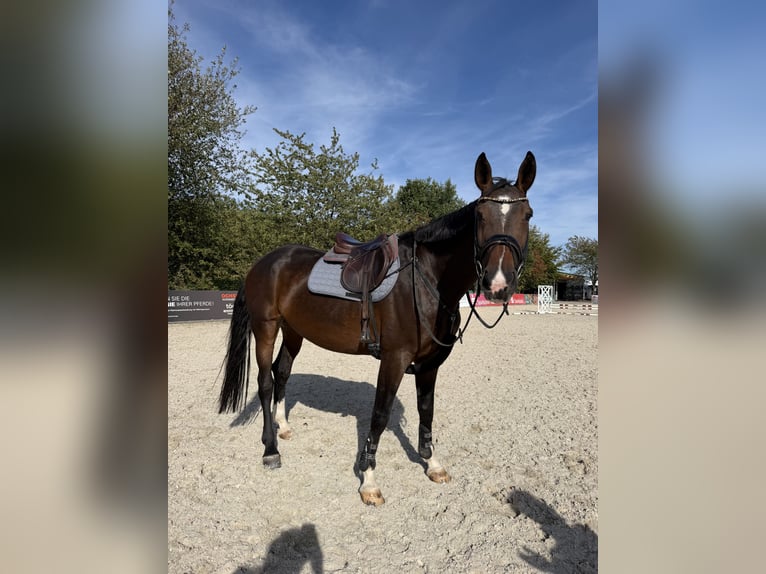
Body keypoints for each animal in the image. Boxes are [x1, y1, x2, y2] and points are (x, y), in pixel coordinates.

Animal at [218, 151, 536, 505]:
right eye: (480, 216)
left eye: (527, 215)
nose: (498, 285)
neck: (427, 279)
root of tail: (262, 263)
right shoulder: (395, 358)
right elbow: (380, 415)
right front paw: (368, 479)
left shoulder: (430, 364)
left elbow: (427, 410)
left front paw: (432, 463)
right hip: (266, 327)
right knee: (264, 381)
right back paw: (271, 450)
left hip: (294, 331)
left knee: (281, 372)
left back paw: (282, 427)